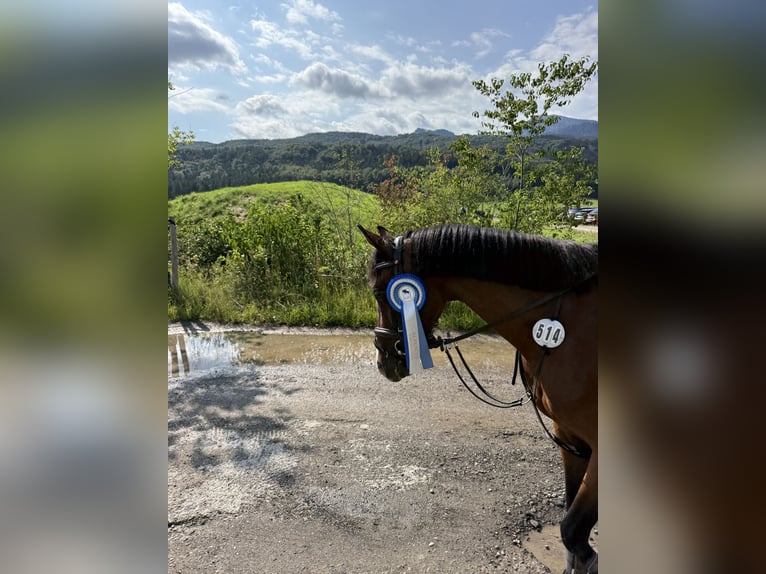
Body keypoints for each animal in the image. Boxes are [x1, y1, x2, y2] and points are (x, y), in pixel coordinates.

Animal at [358, 223, 598, 574]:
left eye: (379, 293)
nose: (382, 362)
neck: (567, 328)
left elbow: (573, 533)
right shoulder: (569, 438)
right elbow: (572, 537)